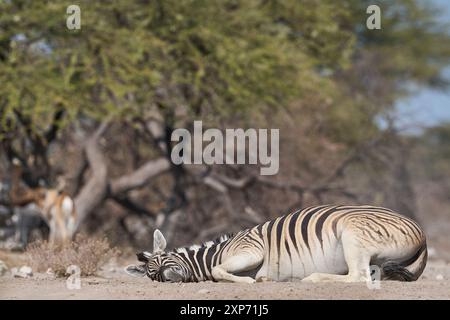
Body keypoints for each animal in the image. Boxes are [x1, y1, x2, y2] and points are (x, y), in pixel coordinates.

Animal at [125, 205, 428, 282]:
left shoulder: (250, 250)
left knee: (357, 276)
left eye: (165, 260)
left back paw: (311, 278)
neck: (217, 252)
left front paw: (251, 282)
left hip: (353, 234)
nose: (172, 277)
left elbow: (218, 270)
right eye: (155, 276)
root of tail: (422, 235)